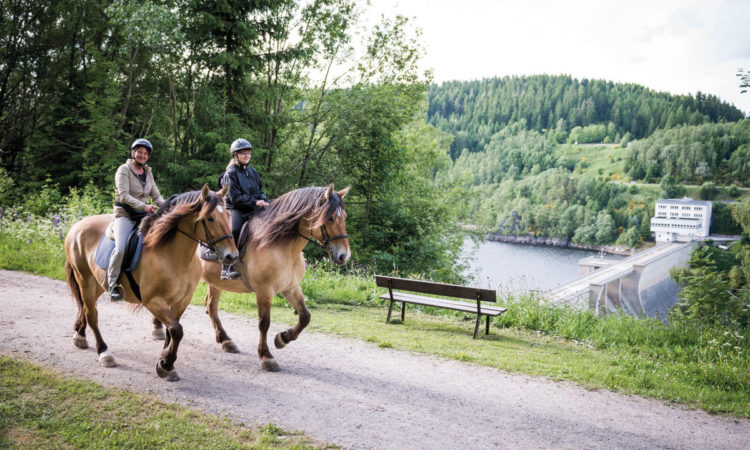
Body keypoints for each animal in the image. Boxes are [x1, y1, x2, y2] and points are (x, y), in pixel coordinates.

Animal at [64, 185, 236, 382]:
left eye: (228, 215)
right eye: (210, 218)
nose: (231, 256)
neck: (172, 255)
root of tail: (77, 226)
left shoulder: (181, 300)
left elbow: (172, 331)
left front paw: (166, 364)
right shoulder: (153, 301)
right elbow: (176, 330)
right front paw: (166, 364)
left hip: (98, 283)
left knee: (86, 307)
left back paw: (80, 336)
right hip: (84, 279)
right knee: (91, 314)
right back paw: (104, 353)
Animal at [157, 185, 352, 370]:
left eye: (344, 217)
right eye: (330, 218)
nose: (344, 256)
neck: (279, 244)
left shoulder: (290, 287)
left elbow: (305, 316)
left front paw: (282, 338)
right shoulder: (264, 290)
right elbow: (264, 322)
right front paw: (266, 356)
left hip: (215, 282)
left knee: (211, 306)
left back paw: (225, 340)